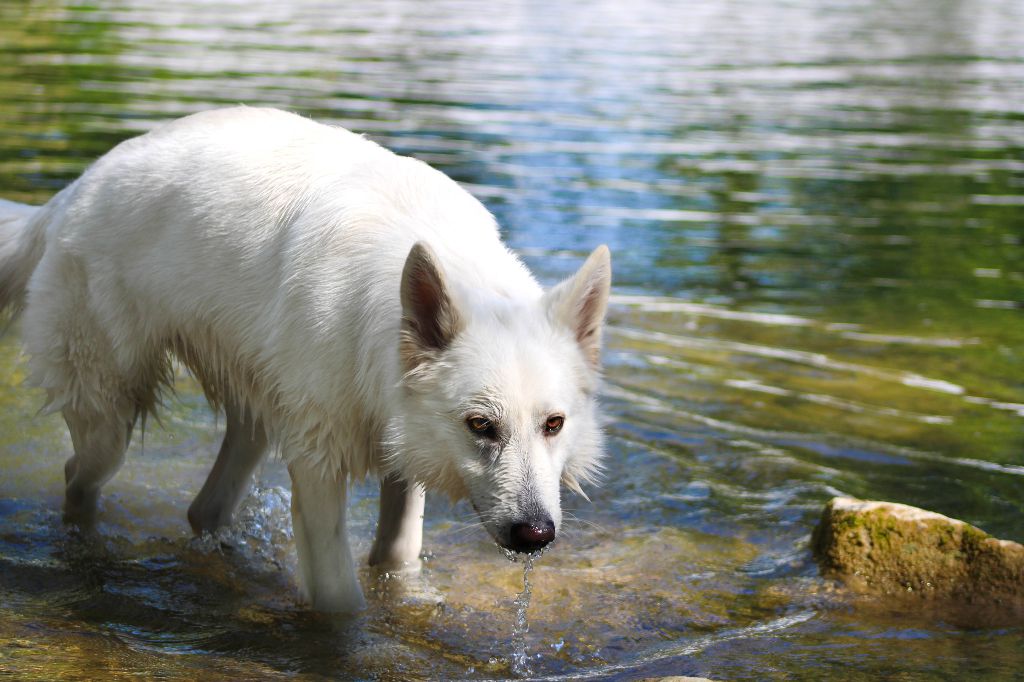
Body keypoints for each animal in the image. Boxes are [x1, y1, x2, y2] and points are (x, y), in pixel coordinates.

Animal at [0, 107, 606, 610]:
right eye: (480, 425)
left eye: (553, 424)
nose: (536, 535)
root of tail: (72, 191)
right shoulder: (318, 468)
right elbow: (341, 605)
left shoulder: (403, 449)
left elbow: (395, 555)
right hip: (109, 419)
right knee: (78, 477)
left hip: (257, 412)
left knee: (204, 508)